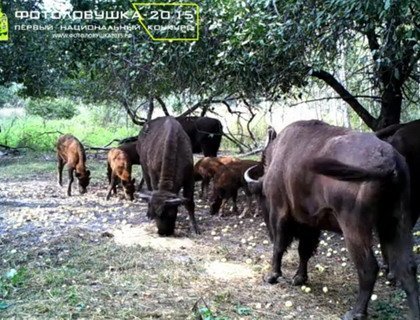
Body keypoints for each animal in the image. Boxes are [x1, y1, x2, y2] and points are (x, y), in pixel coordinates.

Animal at [244, 120, 418, 320]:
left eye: (262, 197)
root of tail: (388, 159)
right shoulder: (310, 223)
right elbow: (304, 251)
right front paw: (299, 278)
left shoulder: (280, 213)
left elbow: (279, 246)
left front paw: (272, 276)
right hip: (397, 223)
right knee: (408, 268)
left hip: (354, 228)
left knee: (369, 267)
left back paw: (355, 313)